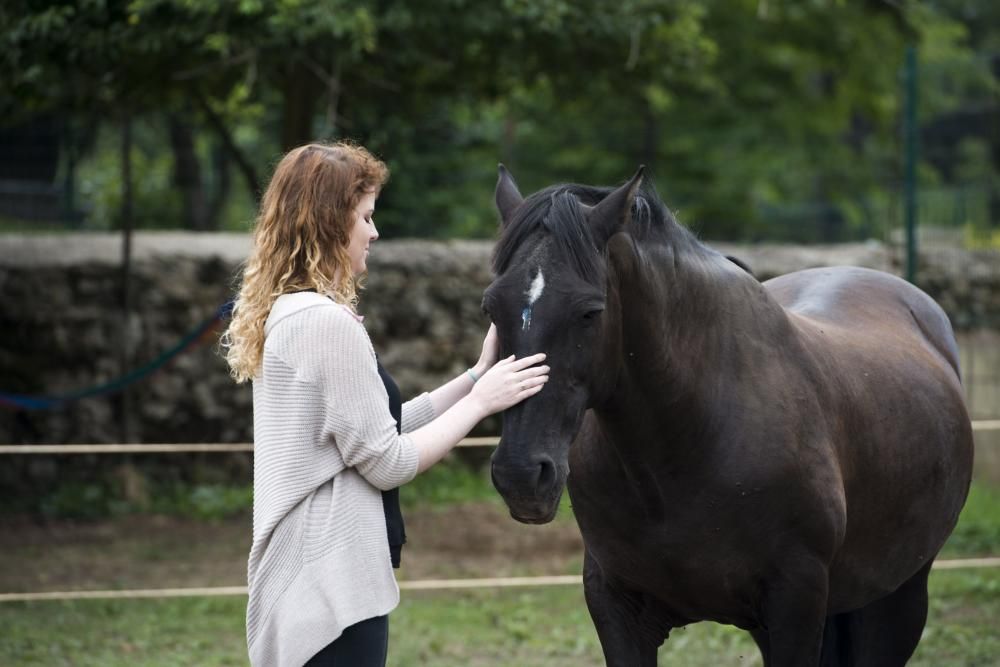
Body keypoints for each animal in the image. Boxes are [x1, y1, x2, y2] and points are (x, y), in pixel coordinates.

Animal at [484, 167, 968, 667]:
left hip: (899, 596)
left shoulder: (797, 602)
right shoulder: (615, 606)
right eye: (491, 307)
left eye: (589, 311)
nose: (521, 475)